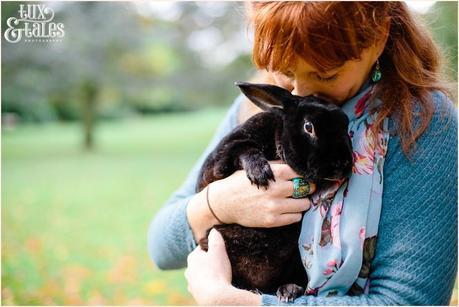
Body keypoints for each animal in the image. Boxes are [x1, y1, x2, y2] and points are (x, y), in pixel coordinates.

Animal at [196, 82, 354, 304]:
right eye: (309, 127)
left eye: (346, 126)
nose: (342, 165)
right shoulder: (222, 158)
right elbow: (244, 149)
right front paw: (260, 173)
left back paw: (288, 291)